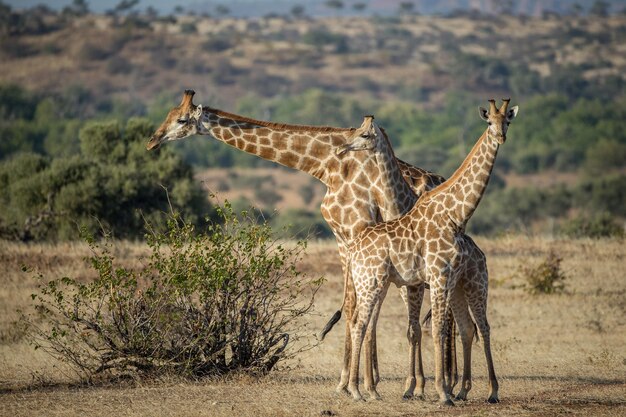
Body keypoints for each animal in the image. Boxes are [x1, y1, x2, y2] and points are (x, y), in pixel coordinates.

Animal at [146, 90, 446, 396]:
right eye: (168, 114)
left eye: (181, 119)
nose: (152, 141)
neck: (326, 165)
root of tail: (437, 179)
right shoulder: (343, 238)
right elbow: (353, 307)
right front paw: (351, 381)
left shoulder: (357, 230)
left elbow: (360, 309)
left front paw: (358, 384)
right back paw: (426, 383)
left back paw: (422, 385)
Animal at [336, 98, 516, 404]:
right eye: (489, 121)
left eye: (507, 121)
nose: (500, 137)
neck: (455, 215)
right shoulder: (430, 279)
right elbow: (428, 330)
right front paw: (435, 391)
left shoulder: (438, 280)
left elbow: (432, 329)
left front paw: (434, 388)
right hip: (376, 282)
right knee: (361, 323)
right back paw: (358, 390)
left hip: (468, 284)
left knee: (474, 328)